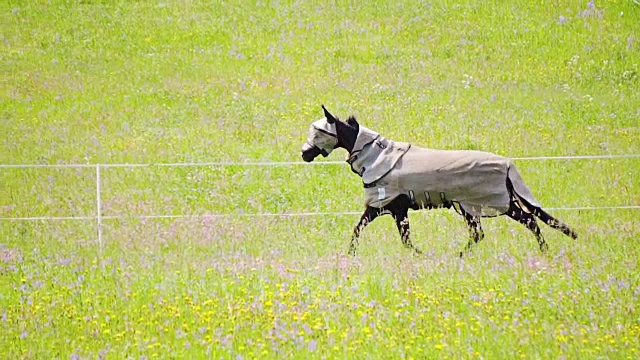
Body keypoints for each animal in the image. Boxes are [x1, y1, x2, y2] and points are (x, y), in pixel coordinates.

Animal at [302, 105, 576, 258]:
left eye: (320, 132)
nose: (304, 154)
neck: (376, 156)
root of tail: (507, 164)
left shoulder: (385, 207)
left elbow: (364, 230)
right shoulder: (394, 210)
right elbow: (390, 235)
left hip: (483, 205)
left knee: (521, 223)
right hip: (482, 207)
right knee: (518, 224)